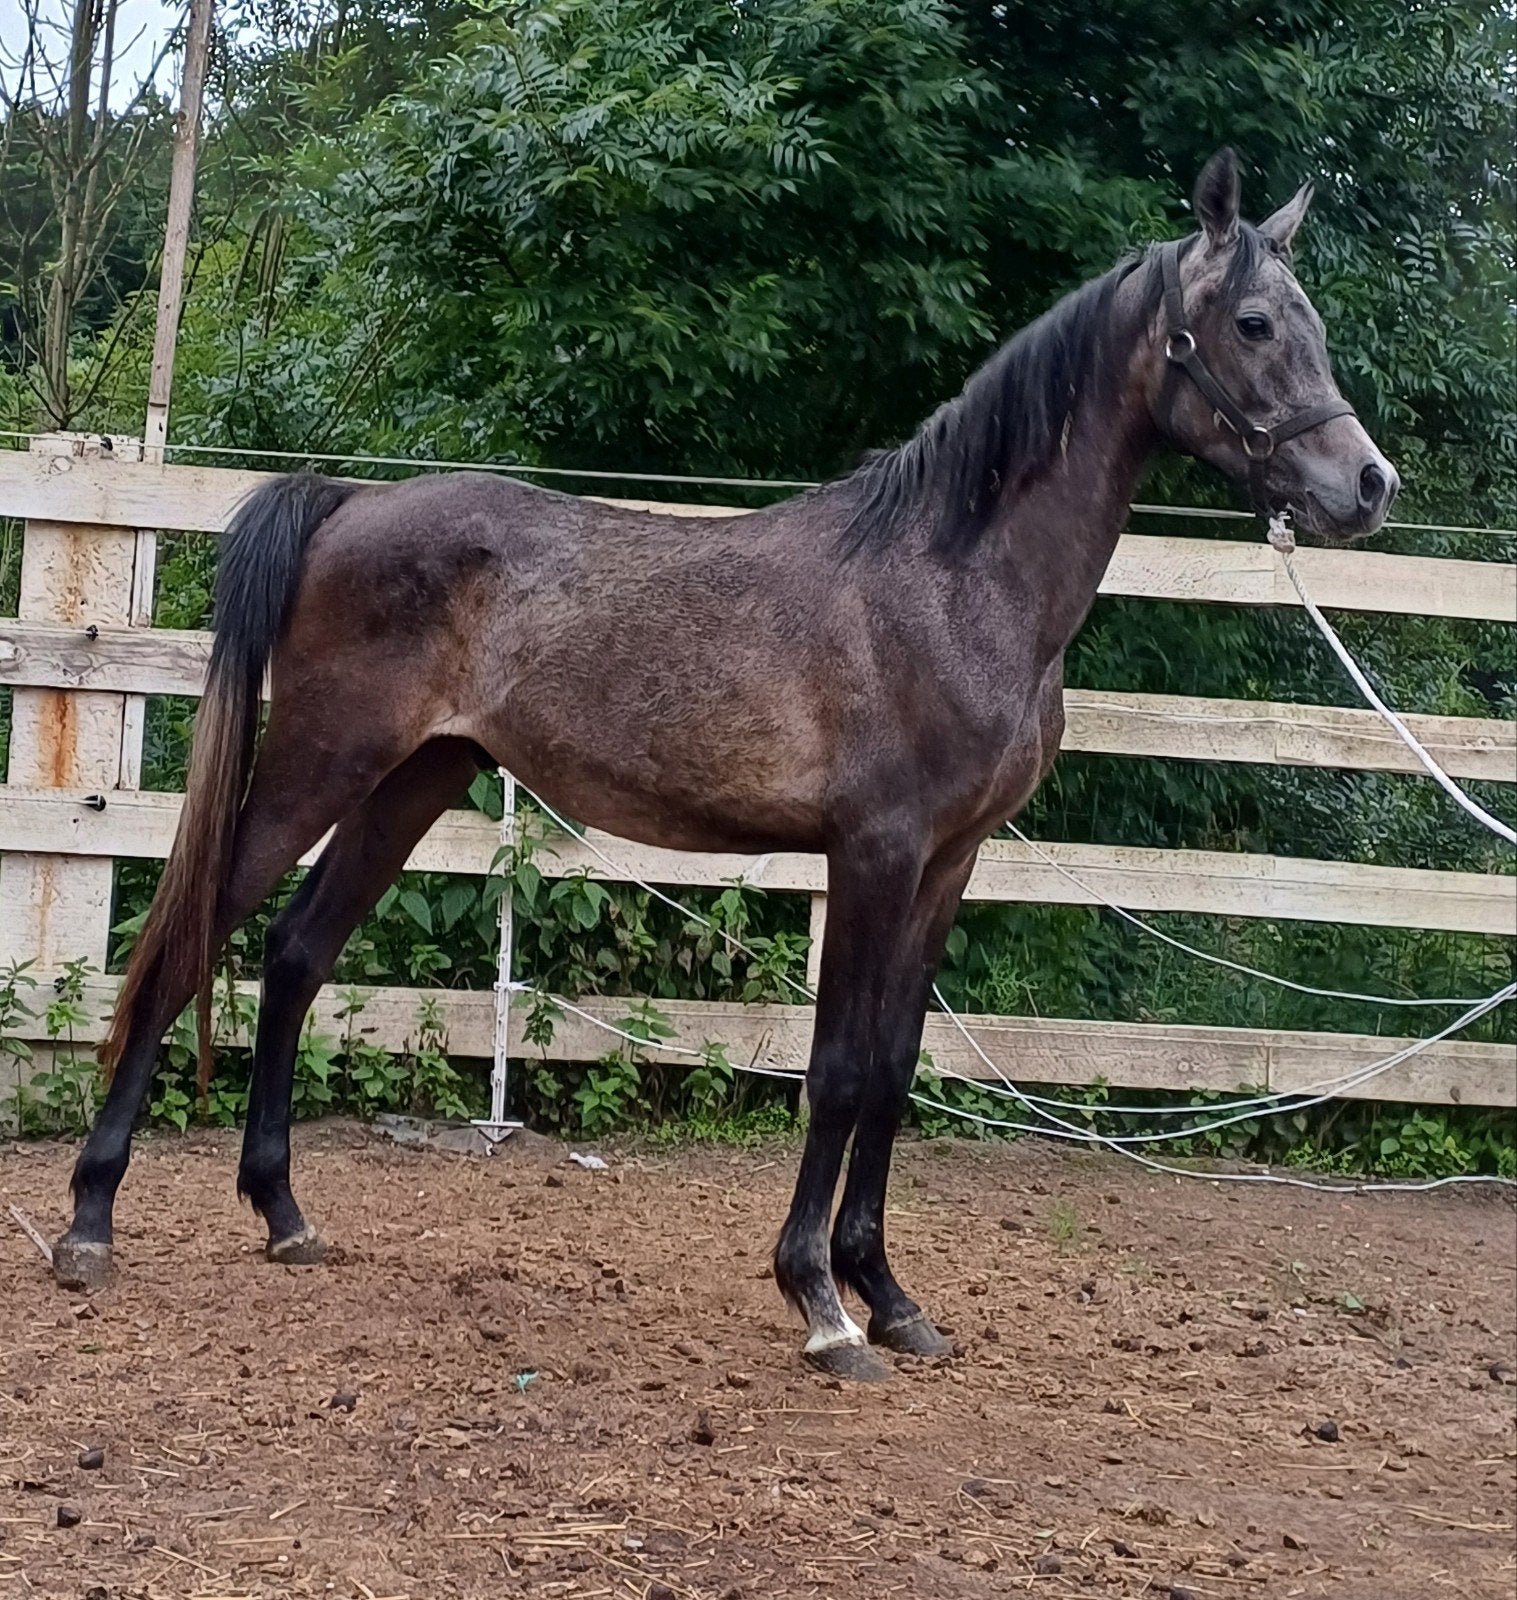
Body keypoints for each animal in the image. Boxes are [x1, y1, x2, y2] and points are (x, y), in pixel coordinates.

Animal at [52, 149, 1397, 1379]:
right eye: (1252, 322)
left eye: (1314, 323)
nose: (1366, 484)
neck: (952, 579)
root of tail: (345, 502)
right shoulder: (874, 853)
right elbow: (839, 1071)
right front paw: (821, 1305)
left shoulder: (948, 863)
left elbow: (894, 1069)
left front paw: (889, 1294)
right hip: (320, 763)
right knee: (188, 942)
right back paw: (89, 1222)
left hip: (411, 781)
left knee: (293, 953)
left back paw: (283, 1214)